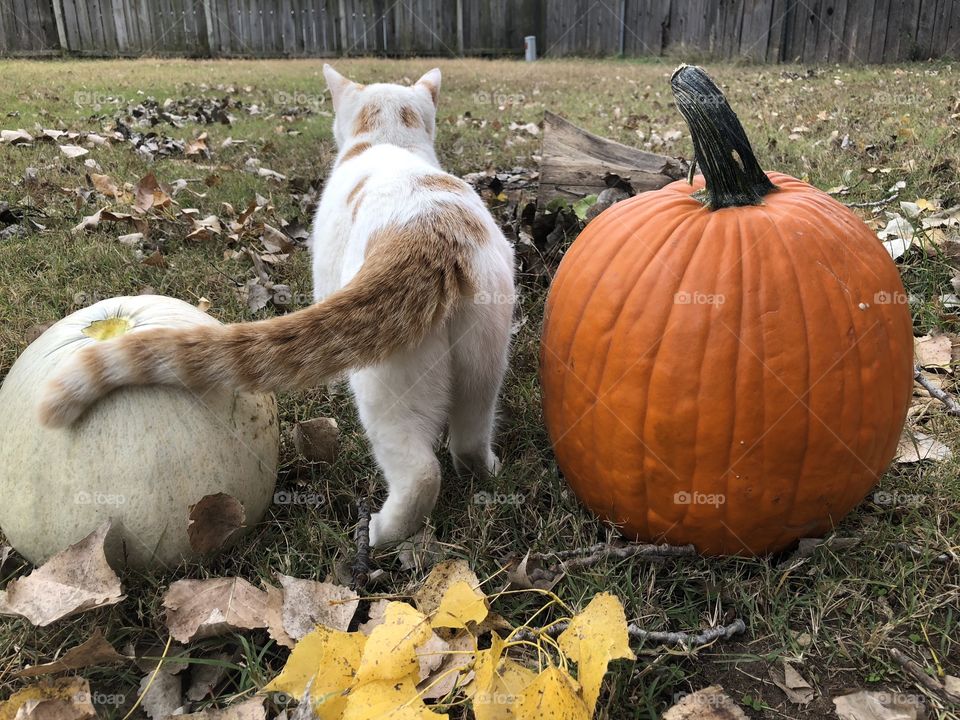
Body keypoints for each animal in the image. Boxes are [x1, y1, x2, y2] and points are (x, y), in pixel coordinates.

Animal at [39, 67, 516, 548]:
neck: (388, 141)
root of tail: (432, 235)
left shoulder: (325, 277)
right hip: (484, 367)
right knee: (470, 438)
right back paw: (485, 472)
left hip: (390, 393)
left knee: (420, 474)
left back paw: (378, 533)